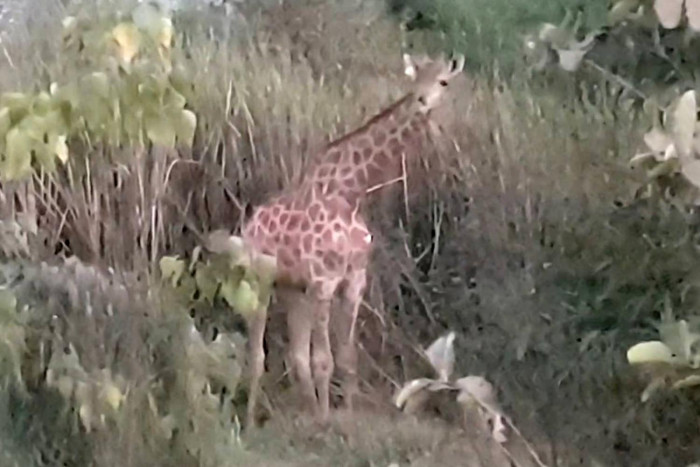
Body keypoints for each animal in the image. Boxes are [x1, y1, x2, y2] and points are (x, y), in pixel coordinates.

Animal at [240, 52, 465, 428]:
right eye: (414, 79)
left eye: (443, 81)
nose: (421, 101)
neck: (351, 191)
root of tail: (248, 225)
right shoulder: (323, 282)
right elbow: (324, 359)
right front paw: (325, 420)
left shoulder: (353, 281)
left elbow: (346, 358)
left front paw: (342, 414)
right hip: (261, 279)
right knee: (258, 353)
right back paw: (249, 420)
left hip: (292, 289)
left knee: (295, 354)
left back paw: (301, 410)